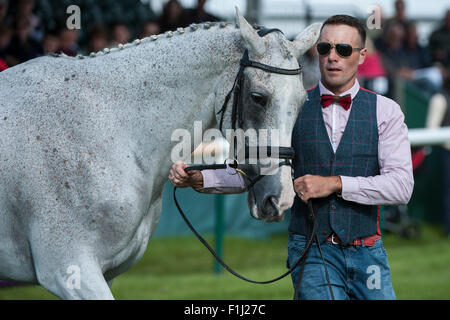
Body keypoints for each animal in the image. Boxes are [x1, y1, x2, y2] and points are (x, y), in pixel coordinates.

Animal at [0, 10, 320, 300]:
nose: (280, 198)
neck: (107, 128)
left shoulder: (106, 273)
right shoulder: (70, 270)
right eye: (258, 98)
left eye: (302, 100)